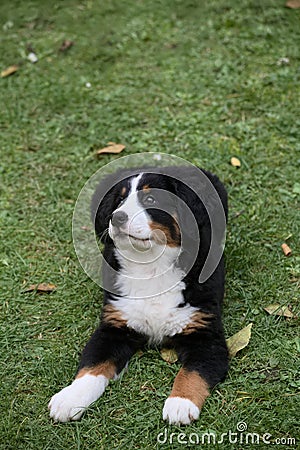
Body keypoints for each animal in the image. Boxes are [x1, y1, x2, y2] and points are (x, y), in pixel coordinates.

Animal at [48, 165, 227, 426]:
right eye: (119, 200)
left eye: (151, 199)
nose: (117, 217)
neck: (150, 266)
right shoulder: (114, 327)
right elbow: (92, 365)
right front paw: (70, 398)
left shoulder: (205, 335)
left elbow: (192, 372)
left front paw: (180, 403)